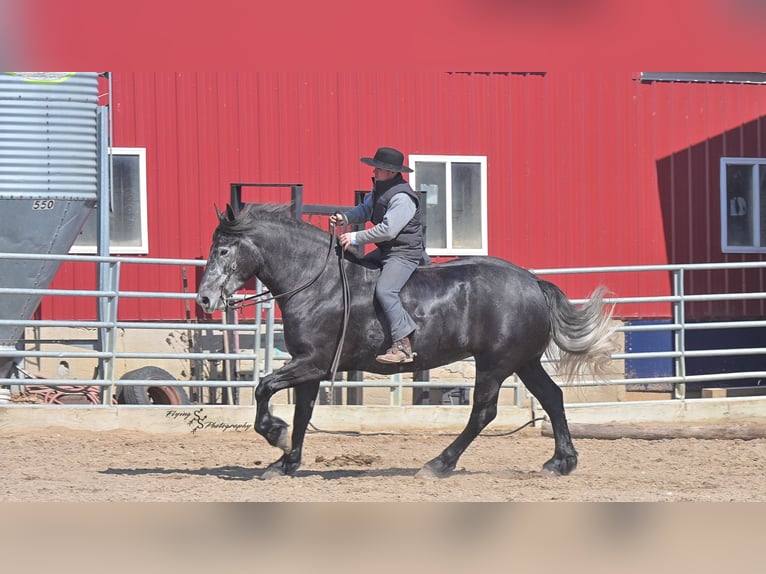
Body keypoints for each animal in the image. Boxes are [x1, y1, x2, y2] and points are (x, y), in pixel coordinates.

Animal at [196, 203, 618, 480]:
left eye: (223, 249)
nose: (204, 300)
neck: (318, 282)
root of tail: (532, 282)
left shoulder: (311, 363)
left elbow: (263, 388)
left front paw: (275, 435)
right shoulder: (310, 369)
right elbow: (302, 414)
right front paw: (286, 461)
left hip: (495, 365)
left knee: (483, 413)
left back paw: (439, 464)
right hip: (523, 362)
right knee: (552, 398)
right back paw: (561, 462)